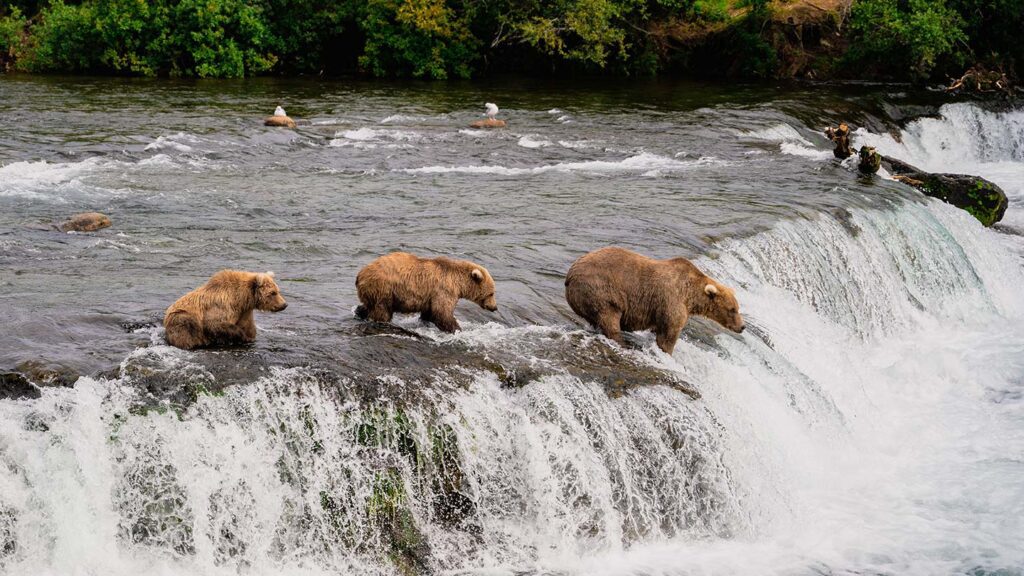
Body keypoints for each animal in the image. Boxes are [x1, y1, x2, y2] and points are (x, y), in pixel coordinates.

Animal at [355, 252, 498, 333]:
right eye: (491, 293)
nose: (494, 307)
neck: (458, 283)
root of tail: (360, 274)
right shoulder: (444, 290)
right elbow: (442, 313)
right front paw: (457, 329)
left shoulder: (431, 296)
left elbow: (429, 313)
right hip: (384, 288)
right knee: (382, 311)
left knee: (369, 306)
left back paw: (359, 312)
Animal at [564, 247, 744, 355]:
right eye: (732, 309)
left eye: (737, 308)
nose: (742, 327)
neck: (690, 296)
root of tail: (569, 275)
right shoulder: (672, 301)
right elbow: (668, 334)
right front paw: (667, 352)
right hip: (601, 291)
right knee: (609, 318)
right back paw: (622, 342)